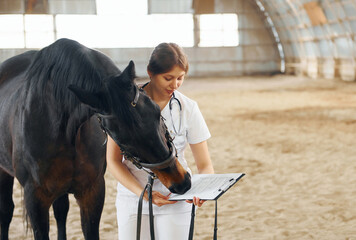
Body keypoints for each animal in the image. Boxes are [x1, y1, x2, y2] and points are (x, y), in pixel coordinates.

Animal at [0, 39, 192, 240]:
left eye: (156, 113)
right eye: (120, 139)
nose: (181, 182)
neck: (64, 130)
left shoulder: (92, 191)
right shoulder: (35, 199)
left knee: (61, 211)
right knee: (6, 211)